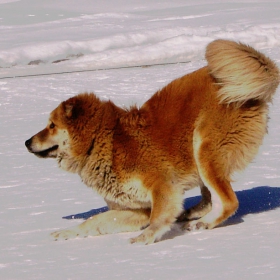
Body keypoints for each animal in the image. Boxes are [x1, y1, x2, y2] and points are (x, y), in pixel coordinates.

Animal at [25, 40, 278, 245]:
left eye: (51, 126)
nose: (26, 142)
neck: (103, 141)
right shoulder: (136, 209)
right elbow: (95, 221)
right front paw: (66, 232)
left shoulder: (163, 185)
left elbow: (158, 217)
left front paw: (146, 237)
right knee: (210, 199)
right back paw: (191, 214)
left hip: (204, 147)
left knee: (229, 201)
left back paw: (203, 223)